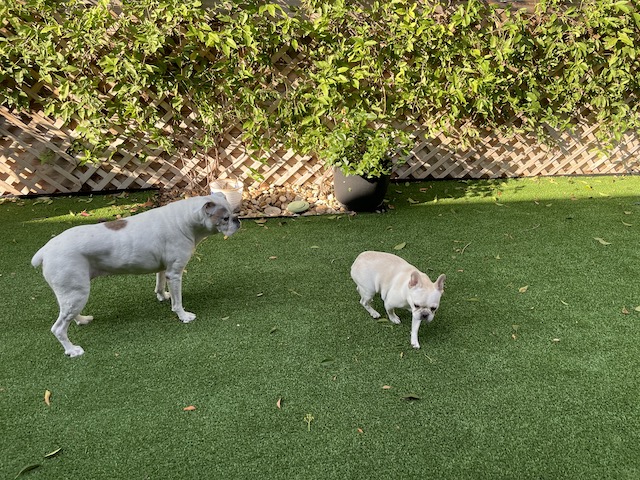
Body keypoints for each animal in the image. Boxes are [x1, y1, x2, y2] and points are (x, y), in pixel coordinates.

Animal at [31, 193, 240, 357]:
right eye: (225, 218)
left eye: (233, 212)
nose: (237, 219)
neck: (185, 220)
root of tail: (45, 251)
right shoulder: (175, 274)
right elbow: (177, 301)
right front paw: (183, 316)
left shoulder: (164, 269)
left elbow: (159, 284)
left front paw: (162, 296)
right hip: (77, 292)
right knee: (58, 328)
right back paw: (72, 350)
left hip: (73, 294)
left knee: (69, 315)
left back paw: (82, 320)